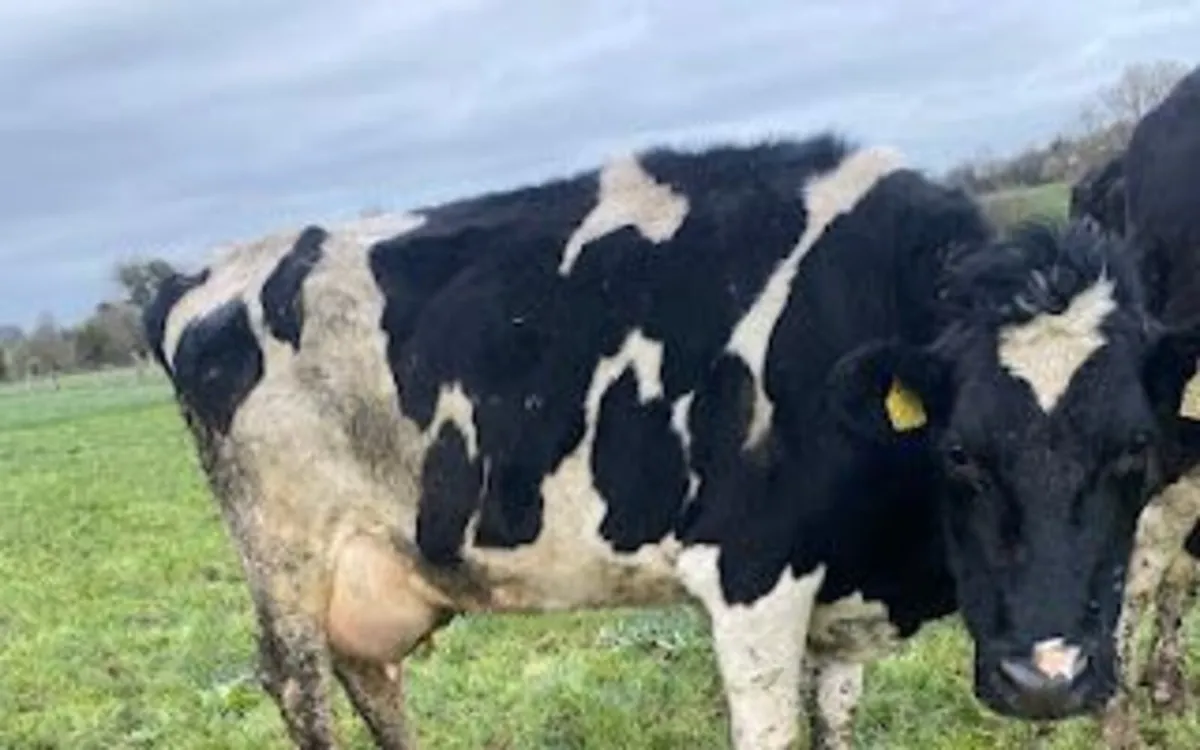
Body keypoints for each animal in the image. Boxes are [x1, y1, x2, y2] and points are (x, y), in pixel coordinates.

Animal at [145, 131, 1200, 750]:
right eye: (959, 454)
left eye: (1136, 452)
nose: (1047, 680)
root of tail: (197, 278)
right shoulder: (751, 579)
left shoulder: (839, 607)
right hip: (285, 557)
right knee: (302, 686)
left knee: (371, 673)